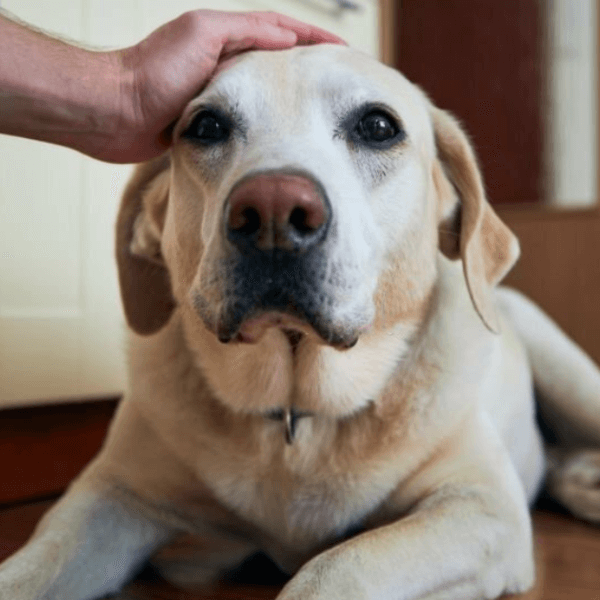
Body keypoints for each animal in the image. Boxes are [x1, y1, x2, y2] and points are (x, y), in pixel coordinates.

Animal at [1, 43, 600, 600]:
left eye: (378, 126)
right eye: (206, 126)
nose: (272, 211)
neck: (296, 410)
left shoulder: (481, 507)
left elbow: (338, 565)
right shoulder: (111, 496)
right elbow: (32, 565)